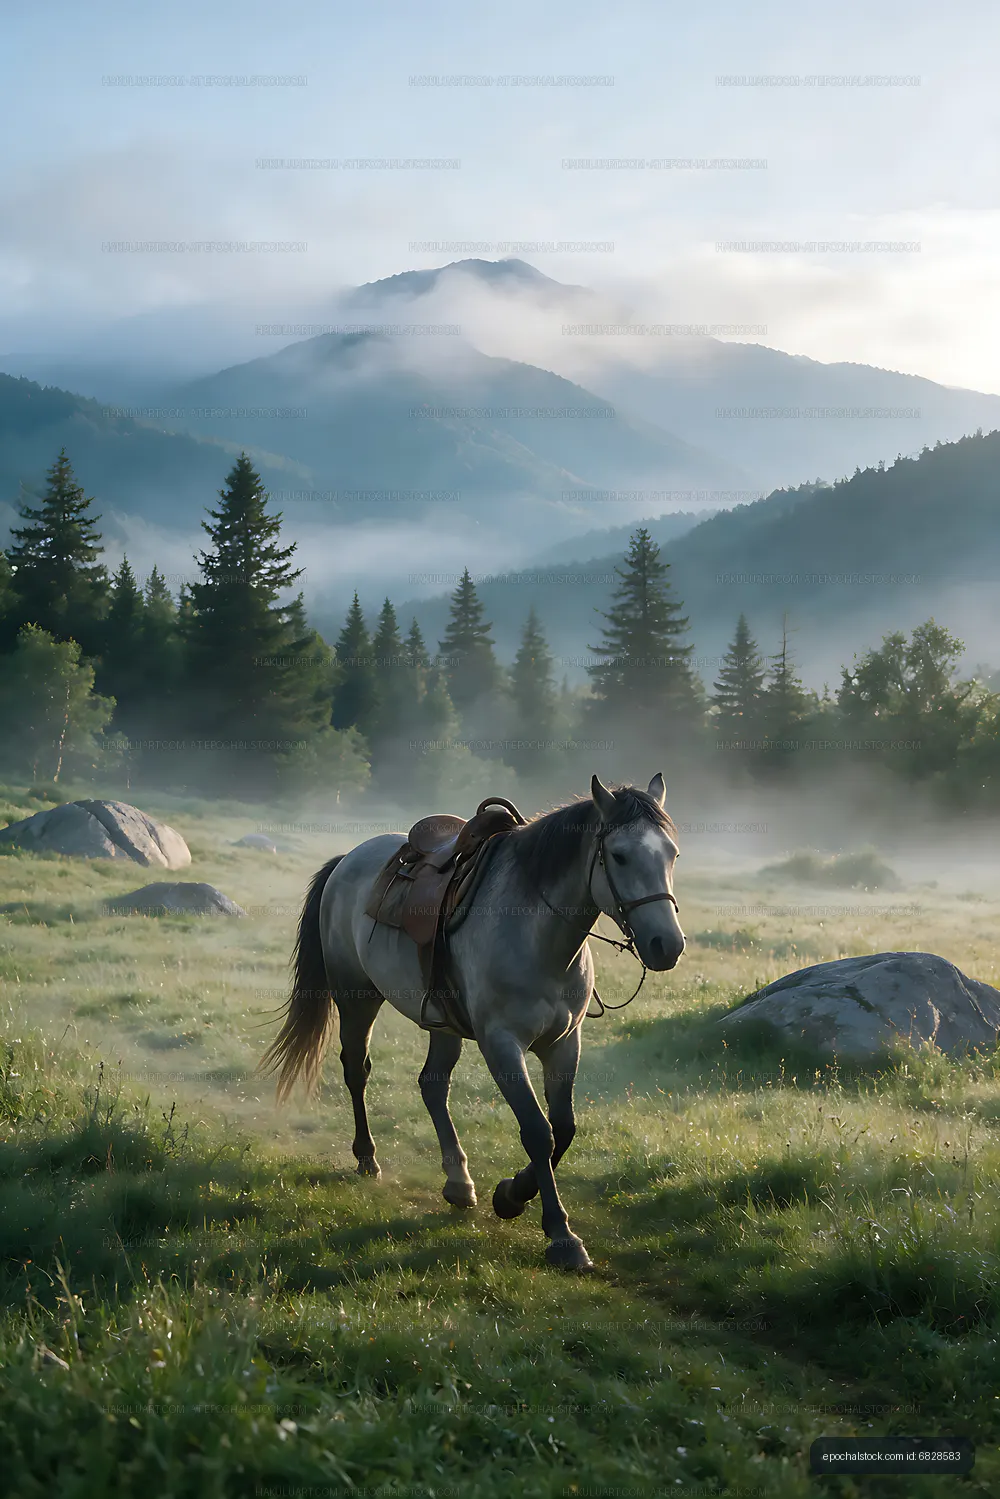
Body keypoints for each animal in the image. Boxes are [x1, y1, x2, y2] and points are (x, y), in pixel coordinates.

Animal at [260, 773, 685, 1271]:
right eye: (618, 855)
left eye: (672, 854)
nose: (667, 945)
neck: (538, 936)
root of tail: (347, 858)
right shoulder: (501, 1044)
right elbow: (537, 1131)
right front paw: (558, 1233)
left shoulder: (564, 1043)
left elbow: (563, 1128)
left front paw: (512, 1194)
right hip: (356, 999)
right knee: (355, 1071)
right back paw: (367, 1158)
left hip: (442, 1026)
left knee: (432, 1084)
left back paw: (458, 1182)